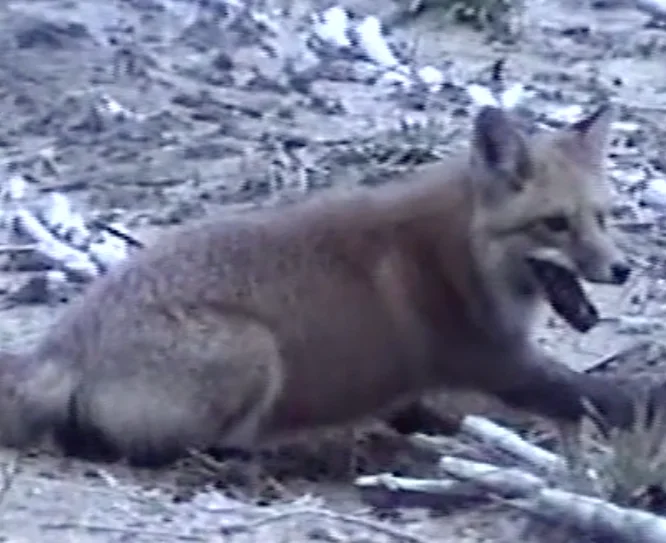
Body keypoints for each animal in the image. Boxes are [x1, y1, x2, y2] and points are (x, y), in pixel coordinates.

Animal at [0, 102, 642, 468]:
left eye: (604, 218)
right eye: (555, 224)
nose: (623, 270)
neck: (460, 253)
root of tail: (60, 345)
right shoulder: (497, 362)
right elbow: (603, 394)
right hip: (254, 349)